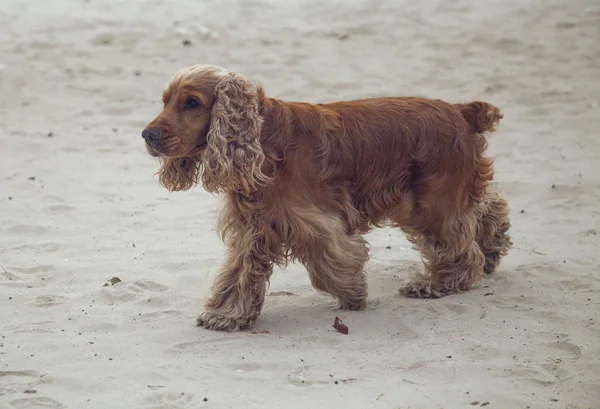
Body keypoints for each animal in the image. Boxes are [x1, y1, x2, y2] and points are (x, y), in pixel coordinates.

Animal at [142, 64, 510, 332]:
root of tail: (461, 111)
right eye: (165, 101)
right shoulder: (253, 225)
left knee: (460, 246)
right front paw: (227, 314)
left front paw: (353, 294)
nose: (147, 134)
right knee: (486, 209)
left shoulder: (313, 220)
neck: (264, 139)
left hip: (432, 203)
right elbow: (240, 272)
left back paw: (439, 283)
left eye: (192, 103)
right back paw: (492, 250)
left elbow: (331, 260)